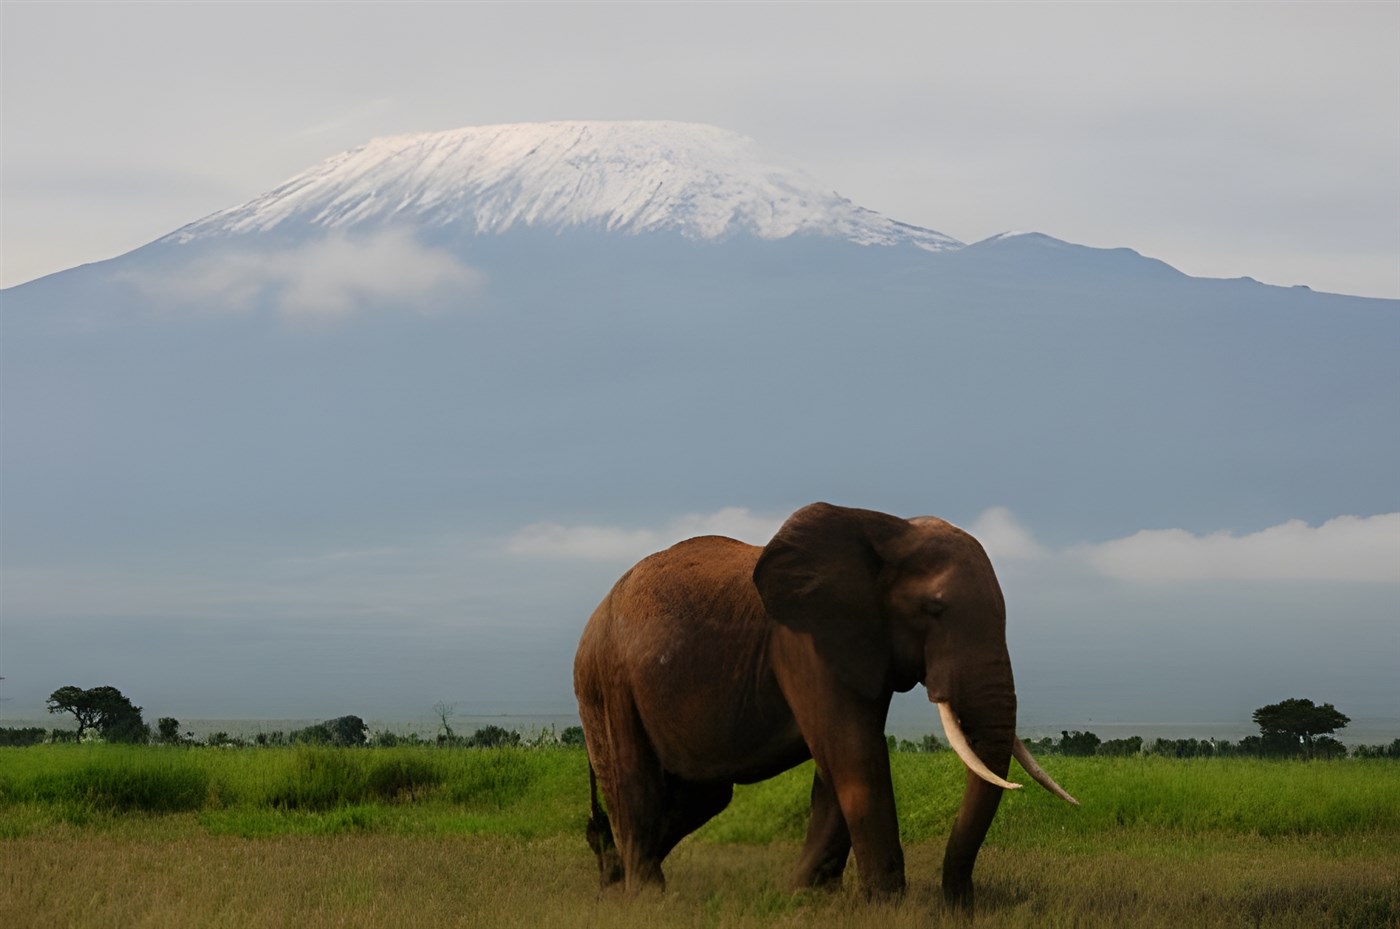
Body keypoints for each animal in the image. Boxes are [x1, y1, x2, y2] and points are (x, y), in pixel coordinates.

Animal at [573, 502, 1077, 908]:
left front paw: (808, 897)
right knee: (634, 779)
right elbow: (854, 753)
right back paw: (646, 895)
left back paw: (611, 879)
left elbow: (841, 761)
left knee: (703, 795)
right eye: (934, 610)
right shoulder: (803, 643)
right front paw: (886, 906)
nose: (958, 905)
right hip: (606, 680)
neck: (888, 531)